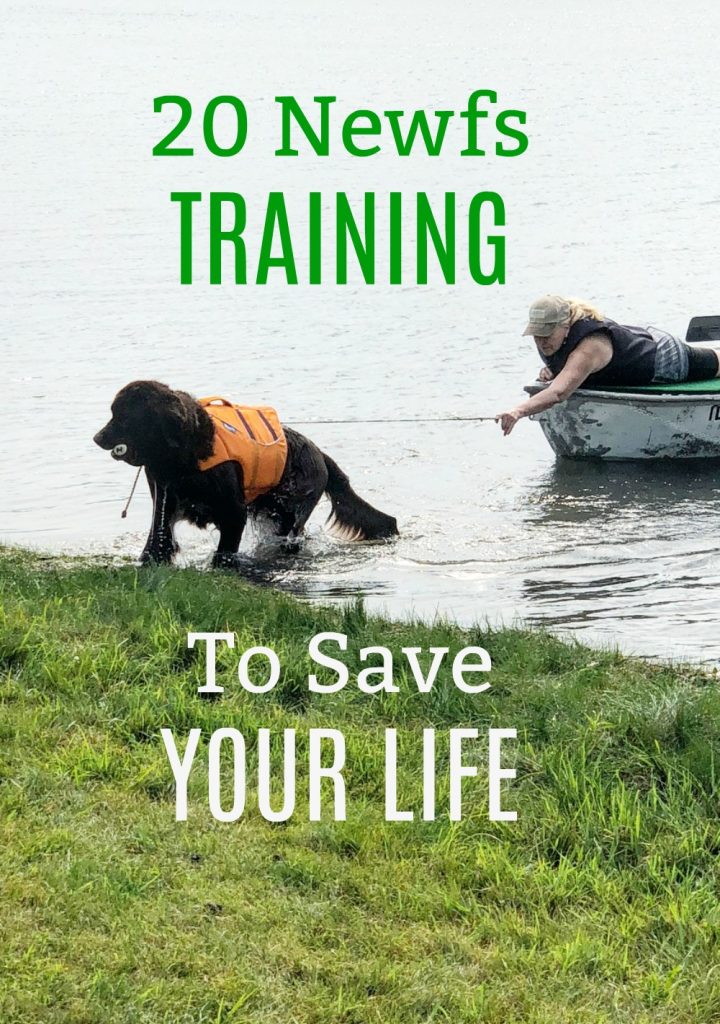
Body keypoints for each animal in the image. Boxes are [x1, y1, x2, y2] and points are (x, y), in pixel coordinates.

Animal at [93, 380, 399, 569]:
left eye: (123, 417)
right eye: (113, 413)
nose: (97, 437)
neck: (188, 455)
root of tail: (320, 454)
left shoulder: (234, 513)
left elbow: (224, 553)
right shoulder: (164, 497)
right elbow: (159, 540)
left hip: (288, 513)